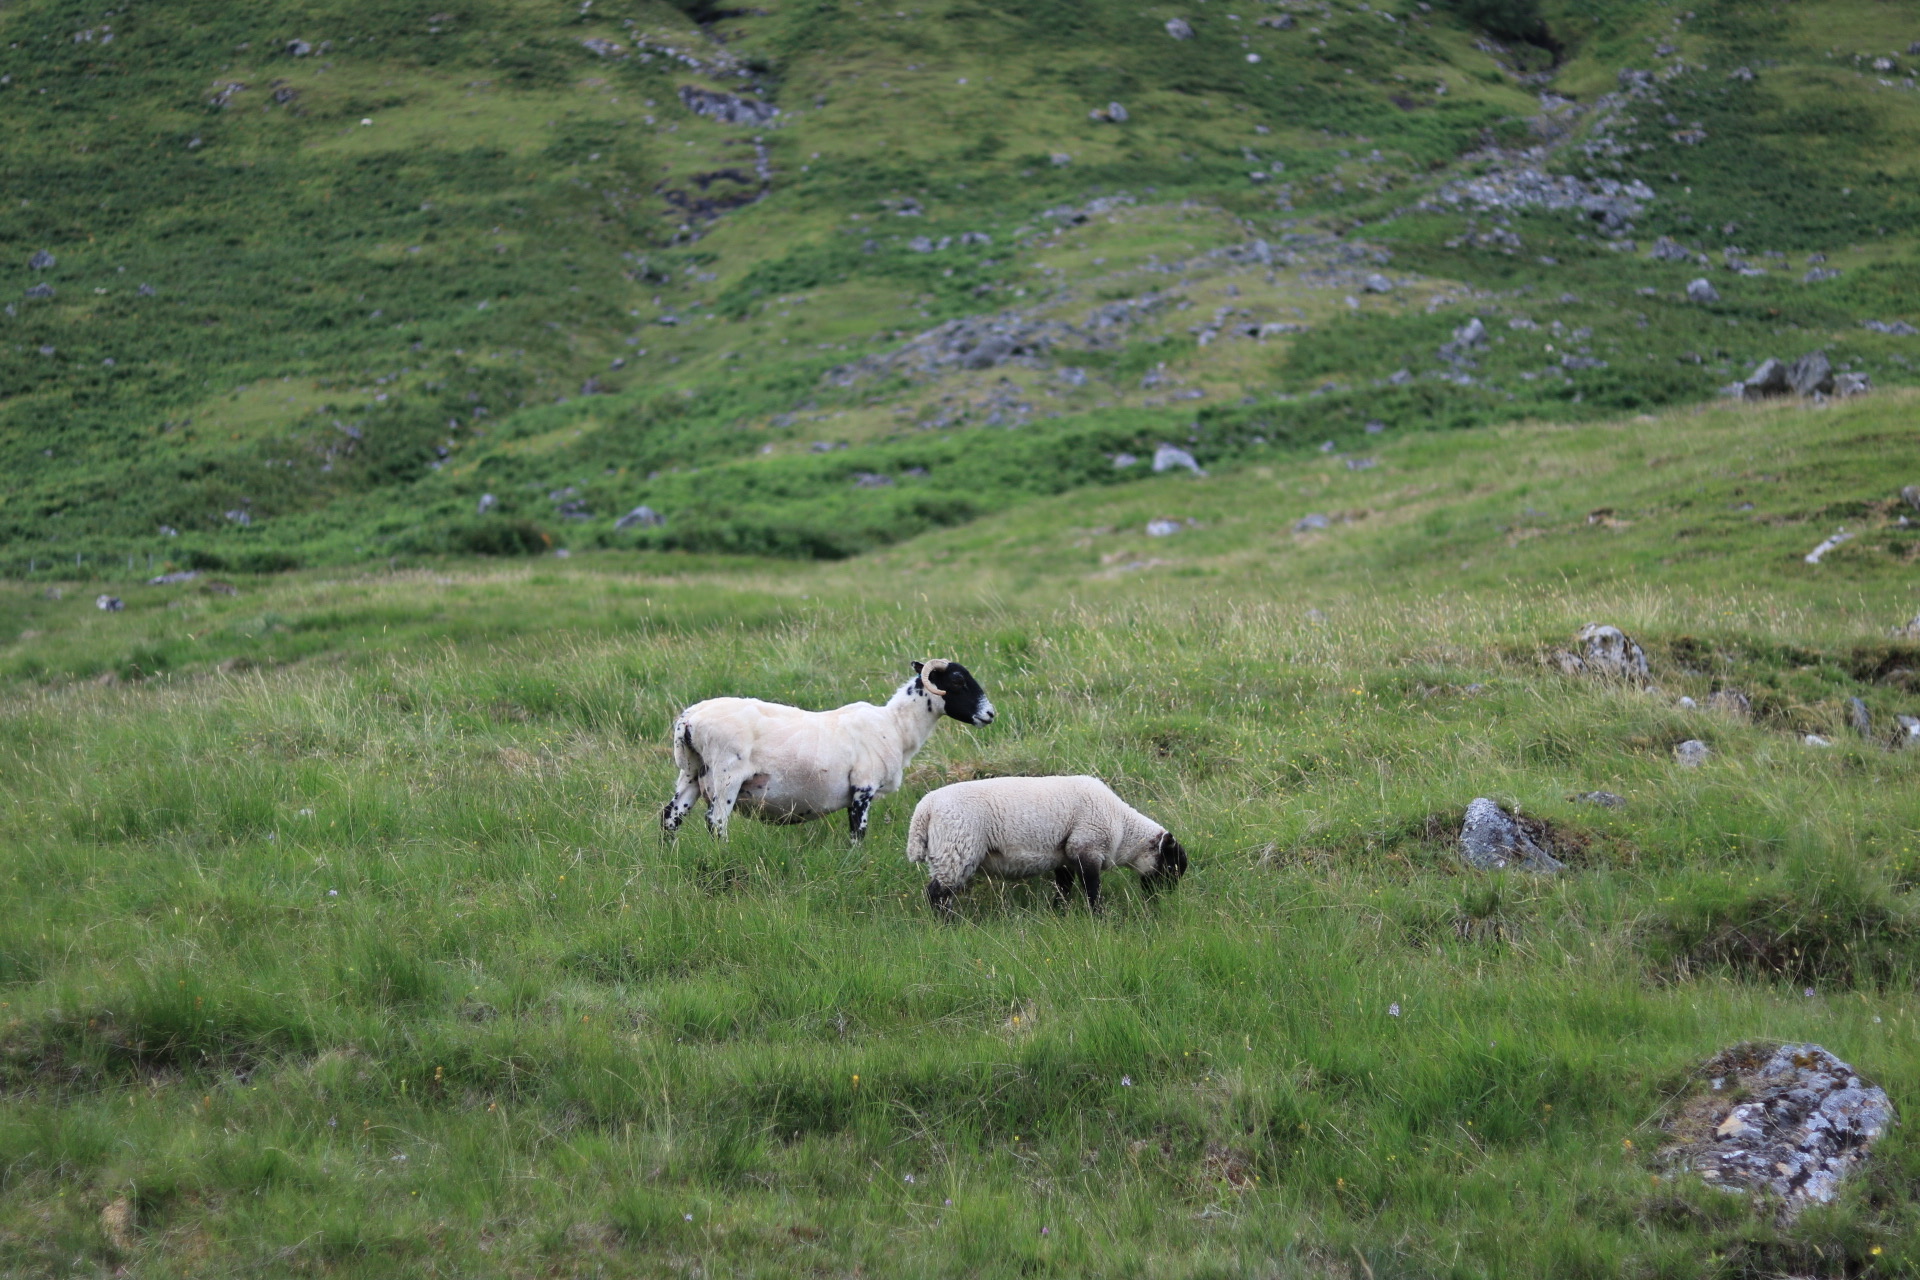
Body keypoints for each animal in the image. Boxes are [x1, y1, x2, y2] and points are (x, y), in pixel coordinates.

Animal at [656, 660, 990, 840]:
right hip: (726, 775)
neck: (896, 725)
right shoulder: (863, 788)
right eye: (957, 680)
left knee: (671, 816)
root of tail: (689, 719)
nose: (990, 715)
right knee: (716, 821)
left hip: (691, 773)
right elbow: (858, 834)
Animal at [898, 775, 1182, 917]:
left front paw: (1058, 913)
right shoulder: (1087, 846)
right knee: (936, 894)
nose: (1164, 898)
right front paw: (1099, 917)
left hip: (946, 852)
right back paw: (948, 925)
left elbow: (1064, 887)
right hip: (956, 849)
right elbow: (1092, 889)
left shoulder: (1065, 856)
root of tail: (924, 809)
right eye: (1172, 867)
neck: (1123, 828)